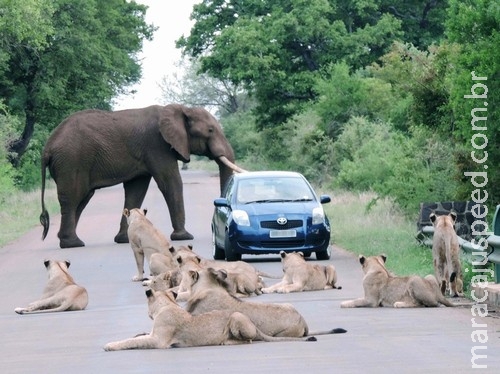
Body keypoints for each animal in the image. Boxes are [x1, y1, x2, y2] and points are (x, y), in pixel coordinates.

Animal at [39, 103, 244, 248]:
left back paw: (67, 240)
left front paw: (124, 239)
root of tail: (48, 146)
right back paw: (72, 244)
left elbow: (136, 190)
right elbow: (170, 182)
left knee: (81, 199)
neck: (181, 109)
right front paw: (184, 237)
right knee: (73, 198)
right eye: (210, 130)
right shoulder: (157, 145)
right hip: (71, 161)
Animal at [103, 288, 316, 350]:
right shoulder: (153, 334)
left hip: (236, 316)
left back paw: (225, 341)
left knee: (248, 340)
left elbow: (131, 341)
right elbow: (137, 336)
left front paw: (110, 345)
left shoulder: (159, 341)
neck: (167, 304)